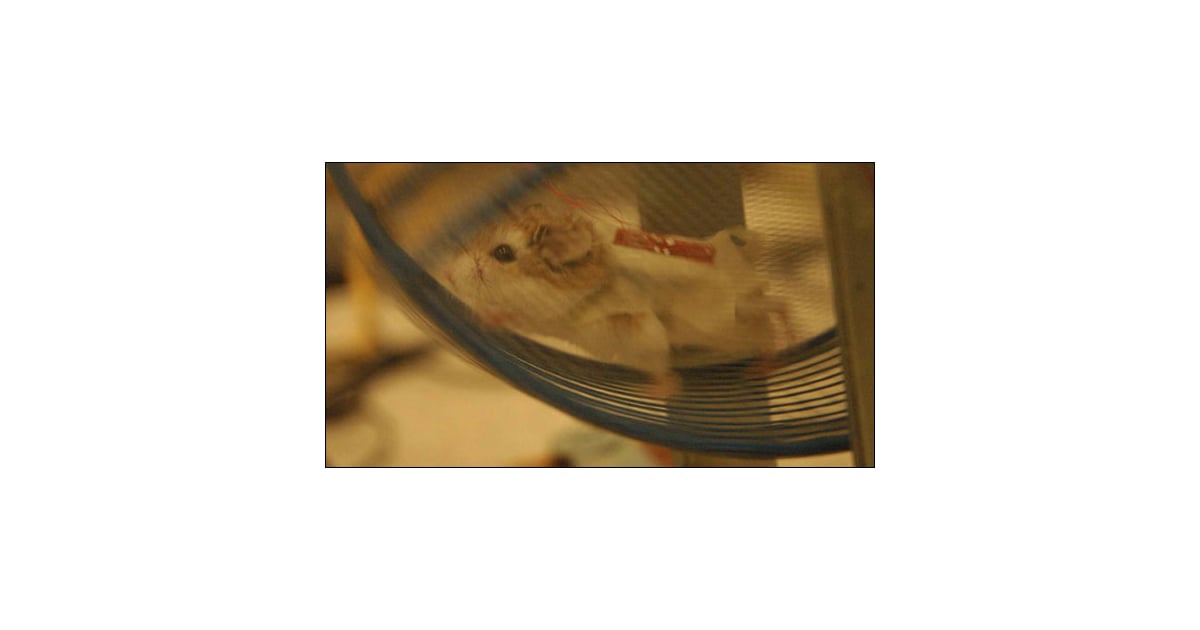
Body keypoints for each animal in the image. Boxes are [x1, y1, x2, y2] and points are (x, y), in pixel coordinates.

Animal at [436, 203, 790, 397]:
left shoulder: (639, 327)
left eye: (503, 253)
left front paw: (660, 392)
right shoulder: (542, 321)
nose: (446, 273)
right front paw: (486, 319)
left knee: (772, 313)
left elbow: (657, 360)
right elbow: (513, 319)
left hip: (731, 318)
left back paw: (771, 357)